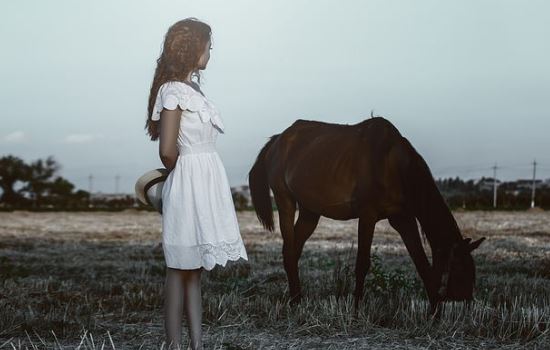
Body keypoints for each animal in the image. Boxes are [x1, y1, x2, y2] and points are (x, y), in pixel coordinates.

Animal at [250, 117, 488, 318]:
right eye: (459, 270)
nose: (465, 300)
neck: (392, 163)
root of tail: (277, 140)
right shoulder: (368, 215)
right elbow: (362, 263)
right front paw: (356, 309)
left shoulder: (403, 219)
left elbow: (420, 262)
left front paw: (434, 312)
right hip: (285, 201)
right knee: (289, 250)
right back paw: (294, 301)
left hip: (310, 211)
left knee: (294, 251)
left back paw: (298, 299)